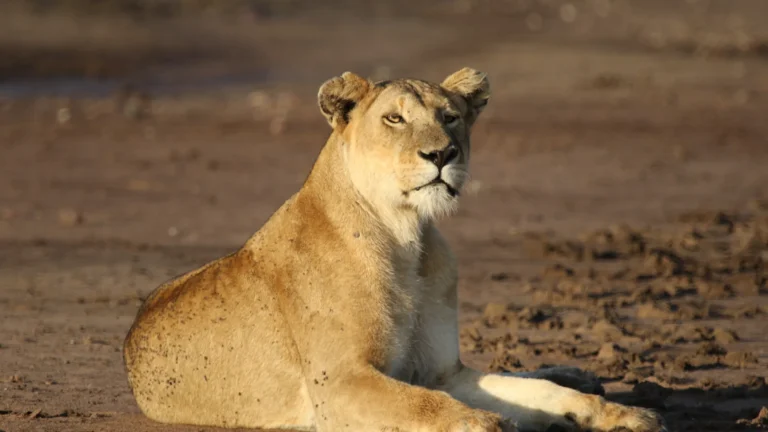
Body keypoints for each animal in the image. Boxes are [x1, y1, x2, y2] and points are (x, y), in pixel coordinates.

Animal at [123, 68, 666, 432]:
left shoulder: (443, 372)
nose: (443, 153)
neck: (409, 238)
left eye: (450, 117)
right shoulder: (339, 384)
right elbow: (425, 405)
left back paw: (580, 373)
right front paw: (487, 424)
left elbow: (539, 393)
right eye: (394, 119)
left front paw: (621, 414)